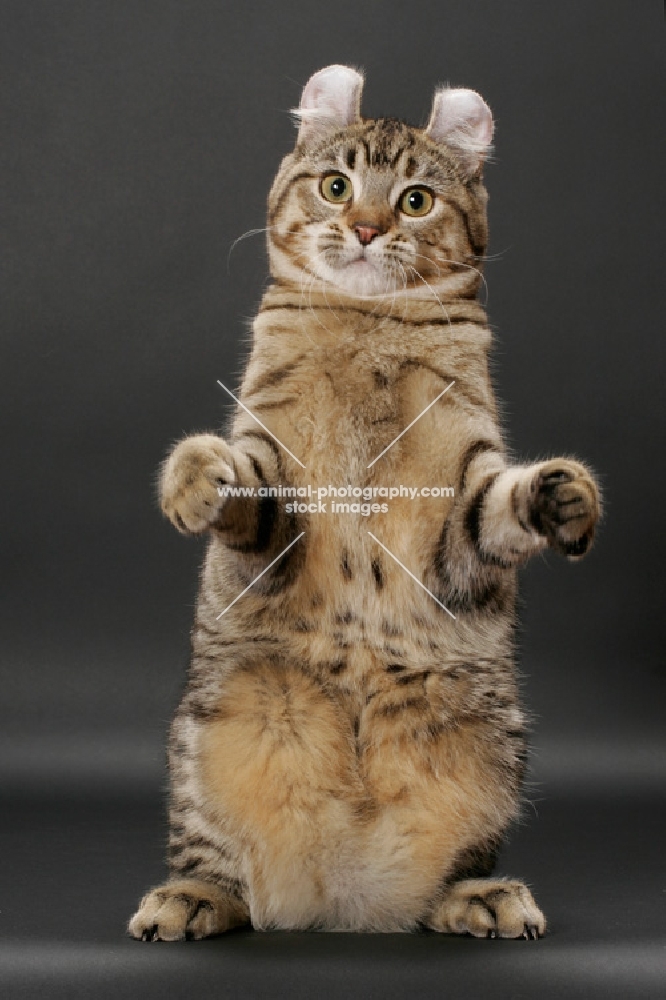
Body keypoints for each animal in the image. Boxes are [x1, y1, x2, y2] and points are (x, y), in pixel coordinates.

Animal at [128, 66, 596, 940]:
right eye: (337, 187)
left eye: (415, 200)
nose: (370, 228)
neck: (370, 322)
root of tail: (339, 895)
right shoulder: (270, 471)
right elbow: (235, 473)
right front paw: (193, 479)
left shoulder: (465, 491)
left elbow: (503, 503)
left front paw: (564, 498)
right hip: (214, 730)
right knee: (215, 861)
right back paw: (192, 899)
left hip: (491, 742)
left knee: (446, 877)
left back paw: (476, 898)